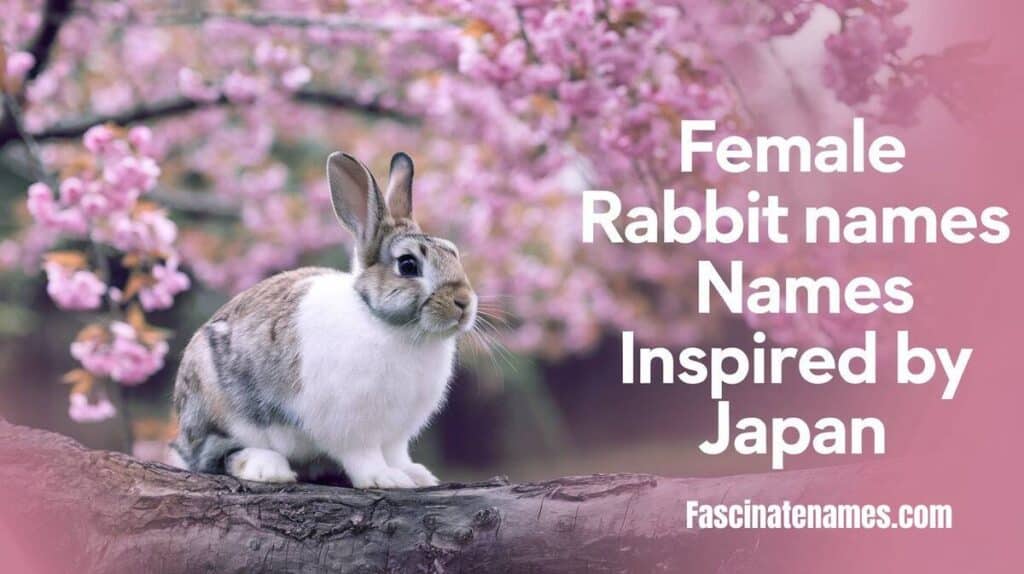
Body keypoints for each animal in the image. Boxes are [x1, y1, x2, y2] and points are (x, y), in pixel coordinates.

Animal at [168, 151, 477, 488]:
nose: (464, 302)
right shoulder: (354, 428)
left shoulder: (396, 435)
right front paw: (386, 479)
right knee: (217, 455)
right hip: (220, 409)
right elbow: (365, 456)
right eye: (408, 265)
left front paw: (416, 475)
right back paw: (268, 468)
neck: (386, 322)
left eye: (454, 253)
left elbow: (397, 454)